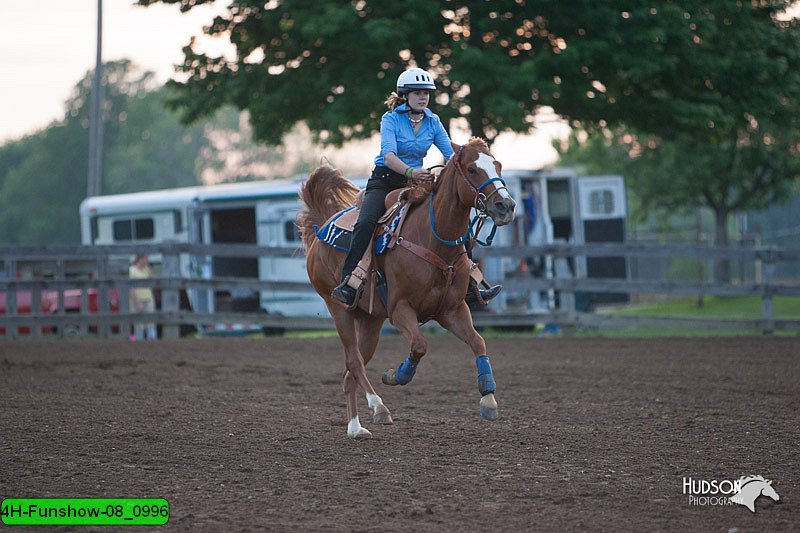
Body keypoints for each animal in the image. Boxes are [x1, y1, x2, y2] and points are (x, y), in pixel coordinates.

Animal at [296, 137, 516, 436]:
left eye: (498, 165)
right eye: (472, 169)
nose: (506, 206)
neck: (433, 239)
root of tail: (322, 227)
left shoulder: (452, 310)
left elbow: (478, 342)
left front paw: (489, 399)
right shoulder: (400, 309)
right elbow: (420, 345)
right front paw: (395, 375)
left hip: (370, 321)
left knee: (350, 371)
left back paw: (355, 427)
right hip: (338, 308)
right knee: (354, 362)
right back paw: (378, 407)